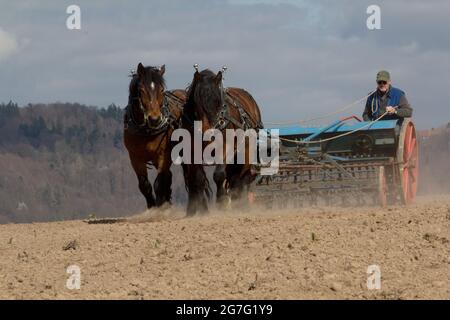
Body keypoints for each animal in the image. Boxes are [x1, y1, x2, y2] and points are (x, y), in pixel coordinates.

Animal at [123, 63, 185, 208]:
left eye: (161, 90)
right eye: (141, 89)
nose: (155, 119)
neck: (146, 130)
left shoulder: (163, 156)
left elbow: (159, 183)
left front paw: (159, 206)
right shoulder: (135, 158)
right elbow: (144, 185)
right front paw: (152, 206)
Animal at [180, 67, 264, 215]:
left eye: (219, 102)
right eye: (197, 102)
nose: (208, 132)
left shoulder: (226, 146)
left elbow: (219, 175)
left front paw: (221, 201)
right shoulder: (192, 150)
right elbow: (198, 178)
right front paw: (199, 210)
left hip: (245, 151)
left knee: (240, 178)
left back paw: (238, 202)